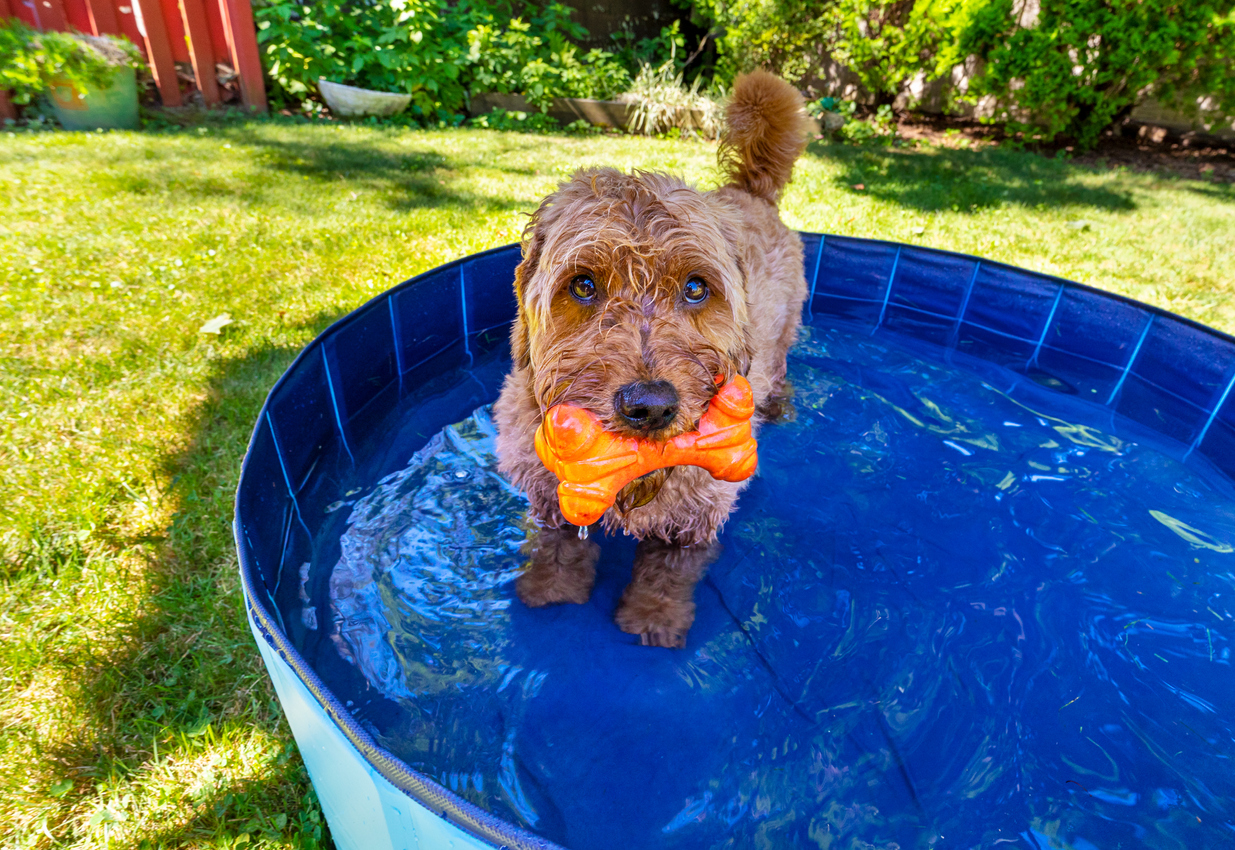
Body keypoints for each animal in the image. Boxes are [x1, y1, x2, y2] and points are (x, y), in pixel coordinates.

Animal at [491, 71, 810, 642]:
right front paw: (551, 591)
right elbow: (557, 546)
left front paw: (653, 620)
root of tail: (748, 188)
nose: (650, 406)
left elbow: (669, 571)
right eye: (583, 285)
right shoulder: (548, 493)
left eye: (695, 288)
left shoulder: (698, 512)